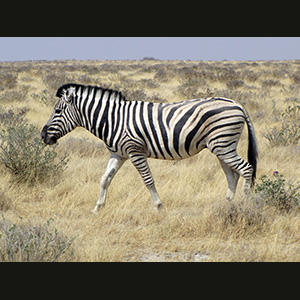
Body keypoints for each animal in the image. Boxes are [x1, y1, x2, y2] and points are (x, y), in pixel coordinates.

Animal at [41, 83, 258, 212]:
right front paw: (98, 207)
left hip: (223, 145)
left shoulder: (135, 151)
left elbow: (148, 180)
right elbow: (105, 179)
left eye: (57, 111)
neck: (113, 120)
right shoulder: (118, 154)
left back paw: (246, 204)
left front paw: (159, 206)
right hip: (222, 146)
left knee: (246, 169)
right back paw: (228, 204)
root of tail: (238, 104)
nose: (43, 136)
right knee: (232, 174)